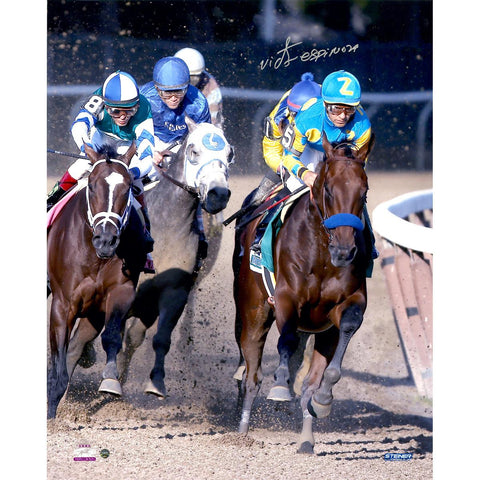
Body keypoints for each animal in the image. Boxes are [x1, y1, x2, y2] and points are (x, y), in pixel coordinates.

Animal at [48, 142, 148, 416]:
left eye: (129, 187)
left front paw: (111, 379)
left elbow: (112, 334)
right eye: (92, 185)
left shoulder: (119, 292)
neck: (95, 257)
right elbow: (58, 357)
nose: (106, 240)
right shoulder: (63, 303)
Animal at [232, 134, 376, 454]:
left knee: (307, 377)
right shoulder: (287, 298)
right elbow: (285, 340)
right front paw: (280, 386)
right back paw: (242, 431)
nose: (344, 250)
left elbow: (343, 334)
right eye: (328, 189)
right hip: (253, 310)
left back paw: (306, 438)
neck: (322, 254)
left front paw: (323, 400)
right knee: (252, 373)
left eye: (363, 192)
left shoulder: (348, 304)